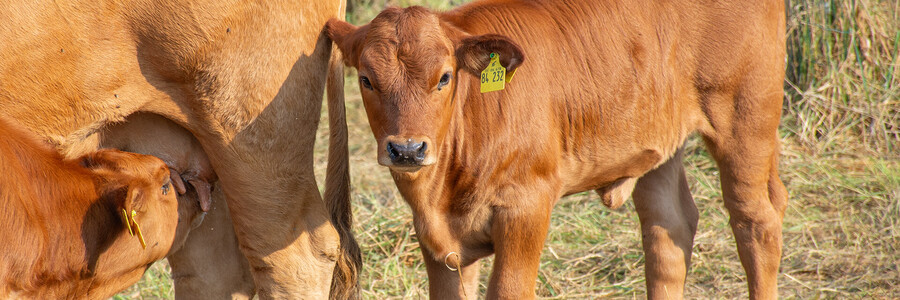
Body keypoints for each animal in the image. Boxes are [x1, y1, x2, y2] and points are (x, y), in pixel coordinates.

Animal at [328, 1, 788, 298]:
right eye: (366, 79)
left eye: (444, 77)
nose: (407, 150)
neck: (440, 192)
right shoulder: (438, 241)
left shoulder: (526, 208)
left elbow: (509, 291)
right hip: (661, 140)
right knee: (668, 230)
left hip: (746, 119)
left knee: (756, 224)